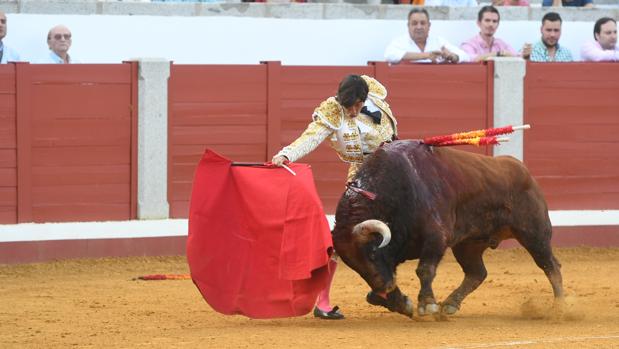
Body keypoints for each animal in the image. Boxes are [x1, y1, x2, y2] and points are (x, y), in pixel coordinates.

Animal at [332, 139, 564, 318]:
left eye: (372, 252)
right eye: (352, 265)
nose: (384, 287)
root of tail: (523, 171)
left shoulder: (436, 237)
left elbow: (425, 269)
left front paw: (427, 305)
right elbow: (381, 286)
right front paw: (401, 303)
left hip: (534, 233)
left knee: (550, 265)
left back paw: (560, 308)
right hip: (468, 245)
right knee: (476, 273)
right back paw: (450, 304)